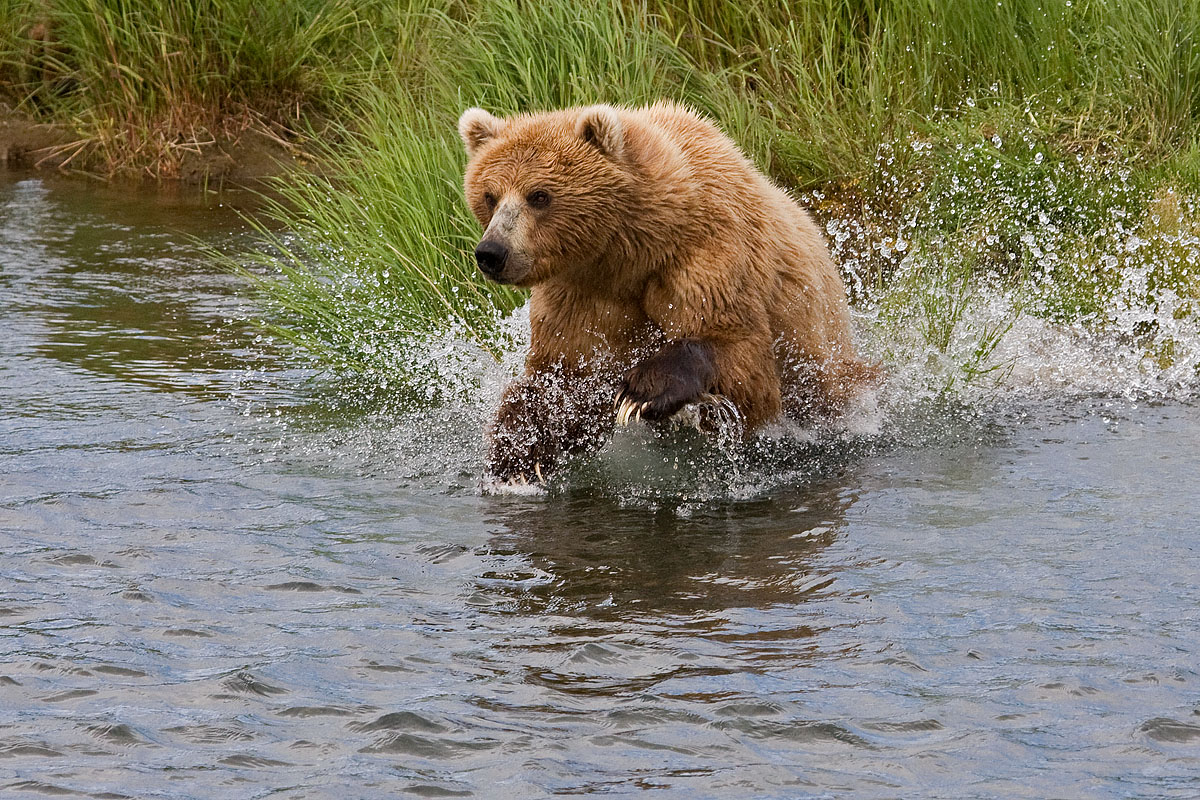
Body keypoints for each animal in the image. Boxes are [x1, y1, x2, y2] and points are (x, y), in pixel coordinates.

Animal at [457, 101, 874, 483]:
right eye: (490, 195)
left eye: (539, 195)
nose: (491, 253)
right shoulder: (579, 293)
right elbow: (566, 378)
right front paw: (516, 453)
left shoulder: (707, 252)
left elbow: (744, 359)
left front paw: (642, 390)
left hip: (825, 365)